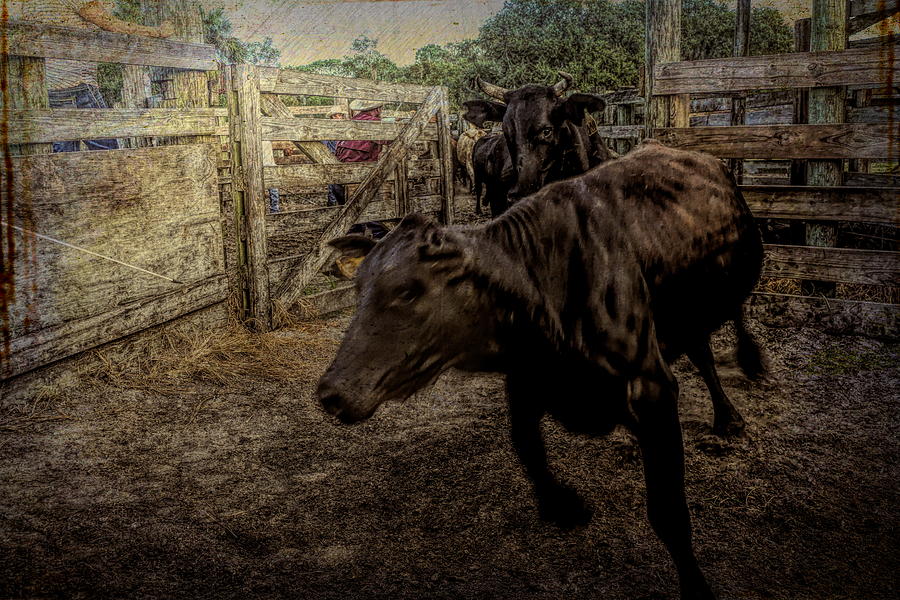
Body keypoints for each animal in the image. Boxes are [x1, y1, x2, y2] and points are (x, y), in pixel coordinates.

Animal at [318, 139, 768, 596]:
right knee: (699, 346)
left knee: (722, 335)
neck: (544, 280)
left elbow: (669, 513)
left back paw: (737, 396)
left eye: (408, 291)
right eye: (358, 288)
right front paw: (563, 505)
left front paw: (696, 586)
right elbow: (527, 448)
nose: (330, 392)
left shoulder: (652, 389)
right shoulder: (528, 381)